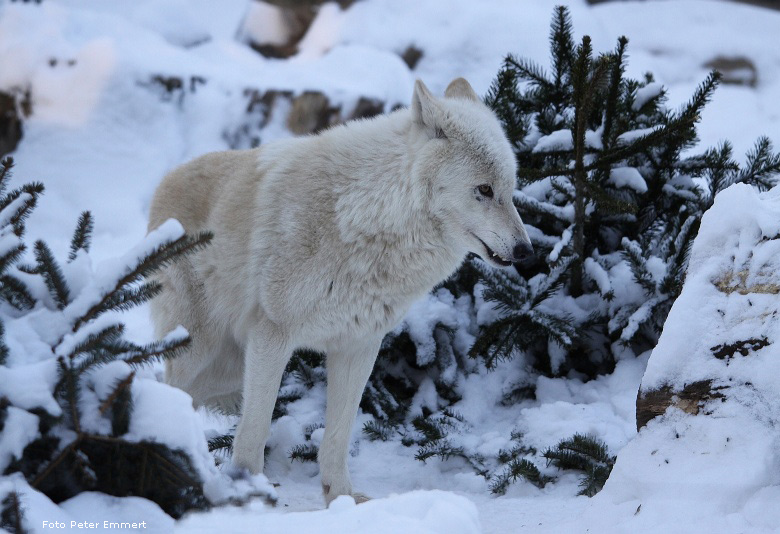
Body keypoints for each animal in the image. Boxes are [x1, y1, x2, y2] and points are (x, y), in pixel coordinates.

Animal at [148, 77, 532, 504]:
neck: (366, 217)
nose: (526, 251)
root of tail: (165, 180)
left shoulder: (359, 346)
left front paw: (342, 500)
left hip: (226, 370)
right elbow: (256, 429)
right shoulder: (273, 335)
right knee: (166, 392)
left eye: (510, 190)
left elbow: (338, 435)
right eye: (484, 189)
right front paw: (251, 490)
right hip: (198, 352)